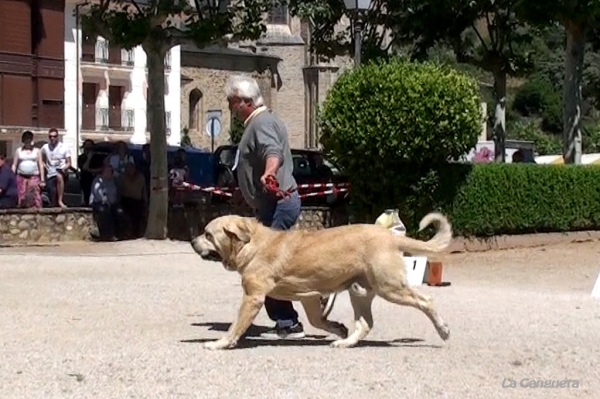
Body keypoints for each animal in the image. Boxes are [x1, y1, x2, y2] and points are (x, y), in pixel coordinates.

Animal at [190, 212, 452, 350]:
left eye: (208, 234)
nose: (192, 242)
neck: (252, 245)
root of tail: (390, 236)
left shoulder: (253, 297)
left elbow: (236, 326)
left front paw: (220, 343)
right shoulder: (309, 298)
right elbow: (318, 321)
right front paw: (338, 328)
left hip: (390, 287)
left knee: (426, 301)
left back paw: (443, 330)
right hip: (359, 291)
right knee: (365, 324)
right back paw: (346, 342)